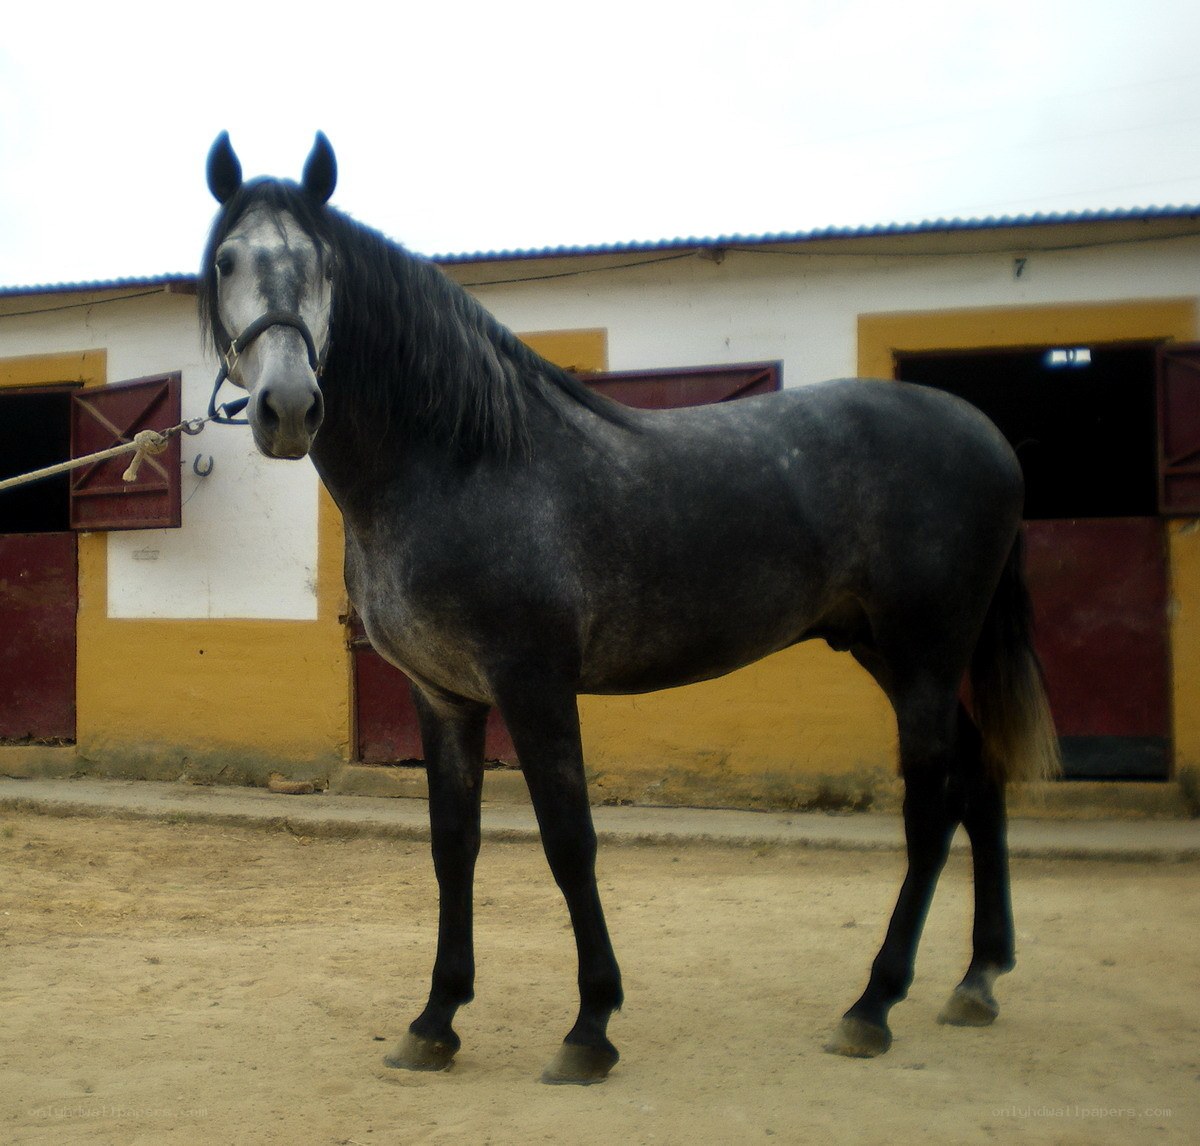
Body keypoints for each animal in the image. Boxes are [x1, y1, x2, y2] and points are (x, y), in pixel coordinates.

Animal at [200, 131, 1060, 1085]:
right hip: (891, 652)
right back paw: (977, 980)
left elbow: (568, 841)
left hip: (924, 654)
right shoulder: (445, 697)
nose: (287, 407)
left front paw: (590, 1027)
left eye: (322, 265)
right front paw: (435, 1021)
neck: (458, 461)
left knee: (933, 805)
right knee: (980, 781)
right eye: (228, 260)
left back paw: (873, 1005)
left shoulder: (534, 684)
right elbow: (451, 847)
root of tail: (986, 436)